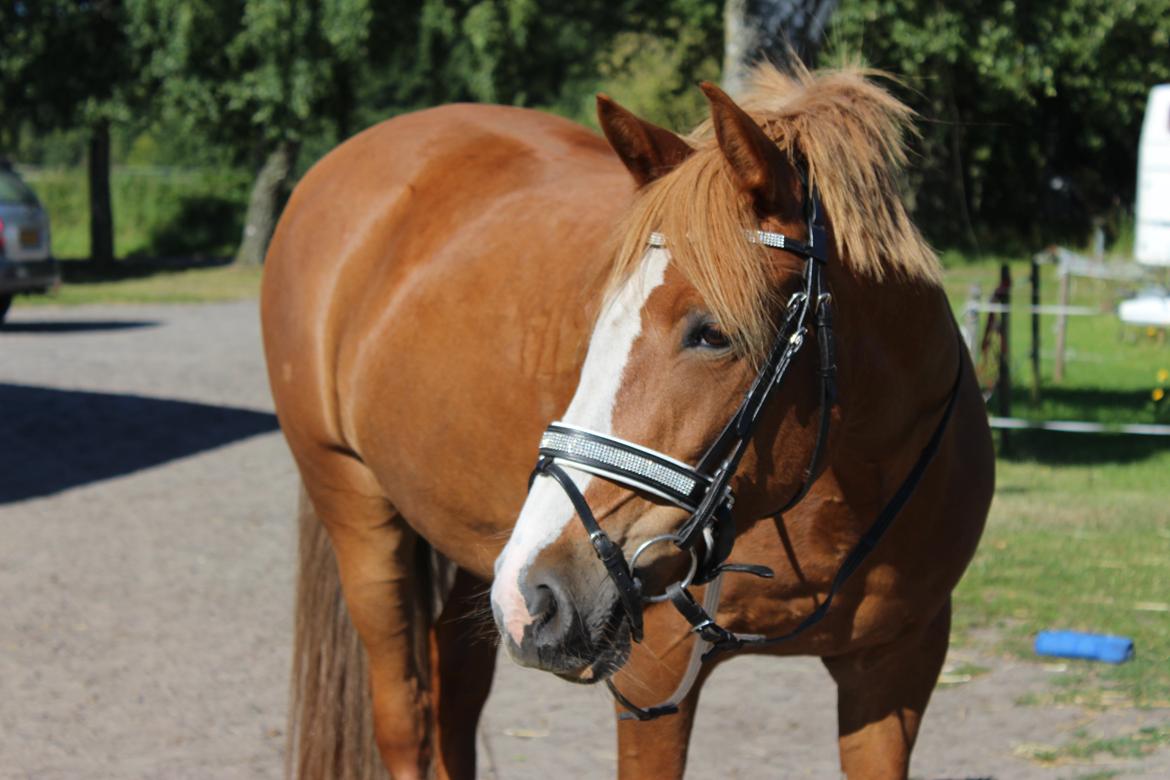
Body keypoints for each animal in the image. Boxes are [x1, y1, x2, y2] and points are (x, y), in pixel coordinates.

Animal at [261, 64, 994, 780]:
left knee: (455, 697)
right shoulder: (655, 677)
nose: (535, 592)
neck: (843, 494)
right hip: (357, 509)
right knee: (405, 717)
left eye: (712, 334)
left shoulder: (895, 670)